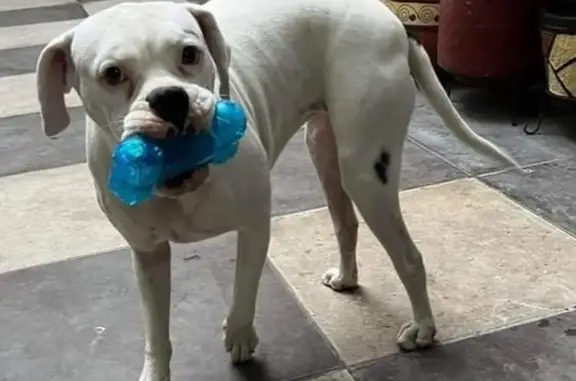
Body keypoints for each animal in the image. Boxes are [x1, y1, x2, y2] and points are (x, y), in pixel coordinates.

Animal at [36, 0, 520, 378]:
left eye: (190, 53)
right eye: (112, 74)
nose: (170, 98)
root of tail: (394, 22)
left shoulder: (255, 225)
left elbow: (244, 288)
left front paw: (239, 336)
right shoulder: (148, 254)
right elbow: (157, 332)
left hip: (366, 173)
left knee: (409, 257)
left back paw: (422, 328)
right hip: (324, 153)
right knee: (345, 223)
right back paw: (347, 277)